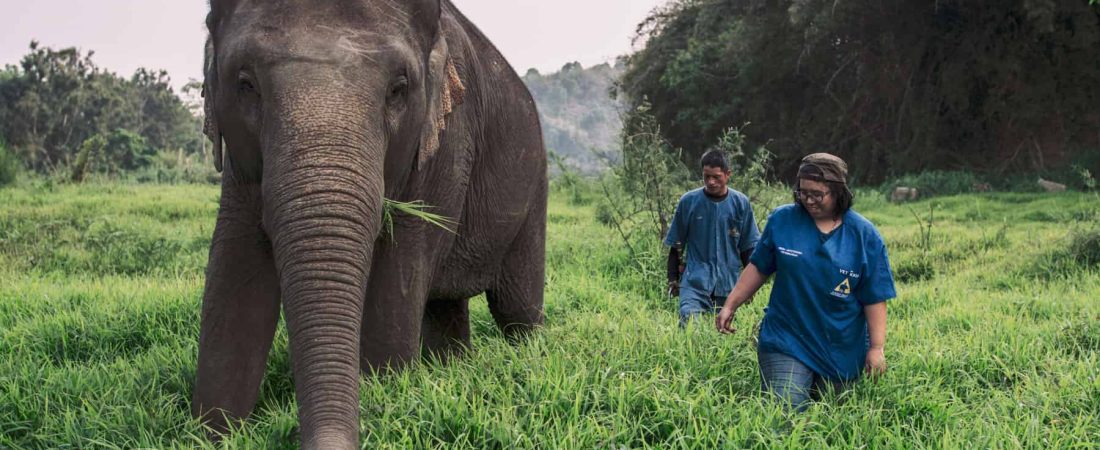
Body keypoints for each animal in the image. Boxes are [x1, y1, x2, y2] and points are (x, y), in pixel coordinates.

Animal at [191, 1, 547, 446]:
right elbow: (234, 271)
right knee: (445, 309)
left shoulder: (447, 143)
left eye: (398, 89)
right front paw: (213, 433)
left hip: (535, 186)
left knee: (518, 308)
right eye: (246, 83)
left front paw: (387, 394)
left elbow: (396, 276)